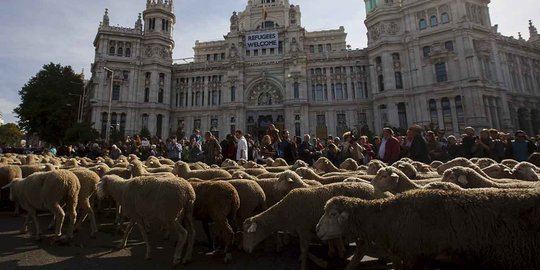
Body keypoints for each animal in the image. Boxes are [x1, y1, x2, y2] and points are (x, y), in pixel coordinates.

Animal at [244, 181, 388, 270]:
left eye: (249, 234)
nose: (245, 250)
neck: (284, 214)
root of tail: (379, 193)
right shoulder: (302, 231)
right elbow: (305, 252)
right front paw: (319, 261)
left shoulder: (304, 231)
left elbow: (304, 250)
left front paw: (305, 265)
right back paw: (383, 258)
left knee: (362, 249)